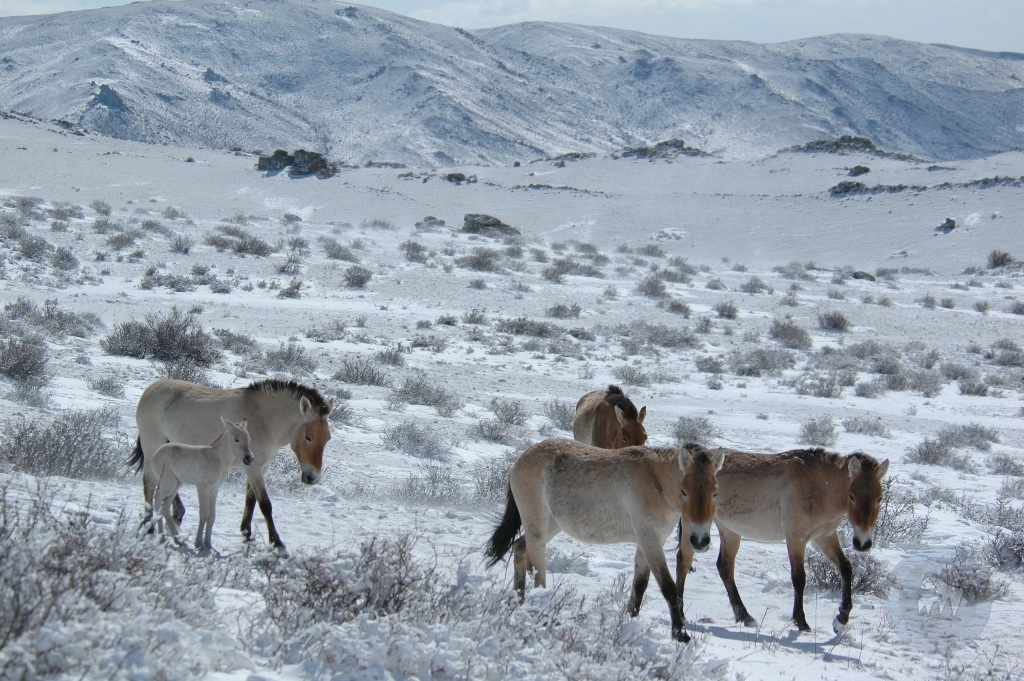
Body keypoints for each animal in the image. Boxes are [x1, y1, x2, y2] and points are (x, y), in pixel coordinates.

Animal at [146, 413, 253, 552]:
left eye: (248, 438)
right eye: (236, 439)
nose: (249, 459)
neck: (217, 459)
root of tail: (154, 456)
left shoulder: (214, 489)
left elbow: (212, 516)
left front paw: (209, 545)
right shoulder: (202, 486)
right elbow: (204, 513)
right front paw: (199, 544)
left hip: (177, 484)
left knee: (165, 507)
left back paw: (177, 540)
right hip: (167, 484)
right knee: (158, 501)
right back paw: (162, 537)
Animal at [483, 438, 724, 639]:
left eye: (715, 492)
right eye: (685, 491)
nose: (700, 541)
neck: (656, 482)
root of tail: (520, 460)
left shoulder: (648, 542)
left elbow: (640, 585)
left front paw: (629, 622)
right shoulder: (650, 541)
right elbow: (668, 587)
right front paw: (680, 635)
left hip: (551, 526)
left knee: (519, 548)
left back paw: (519, 603)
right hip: (538, 529)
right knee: (538, 573)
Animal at [675, 446, 884, 630]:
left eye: (879, 498)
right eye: (852, 496)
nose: (863, 543)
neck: (819, 488)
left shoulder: (825, 537)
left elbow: (846, 568)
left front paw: (841, 618)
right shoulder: (796, 538)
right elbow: (799, 578)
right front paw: (801, 621)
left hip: (730, 530)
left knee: (725, 567)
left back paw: (745, 616)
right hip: (694, 529)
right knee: (683, 561)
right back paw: (681, 614)